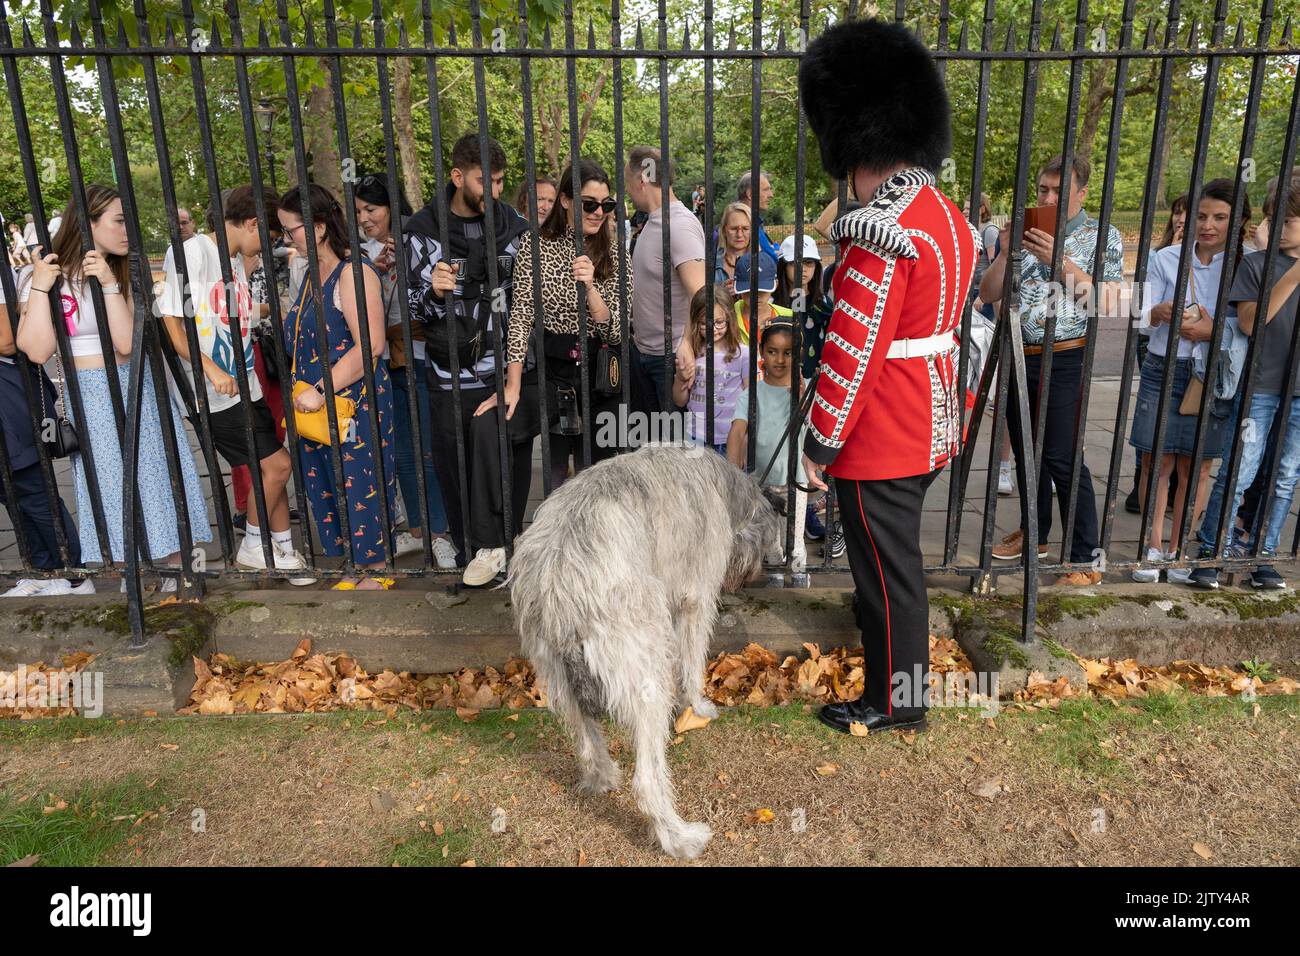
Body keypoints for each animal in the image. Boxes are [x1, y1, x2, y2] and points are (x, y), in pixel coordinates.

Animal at [506, 447, 774, 858]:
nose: (755, 574)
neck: (725, 486)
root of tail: (557, 583)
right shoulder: (695, 597)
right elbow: (692, 658)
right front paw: (699, 705)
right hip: (642, 664)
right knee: (647, 779)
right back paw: (678, 837)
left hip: (554, 668)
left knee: (583, 734)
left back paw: (602, 775)